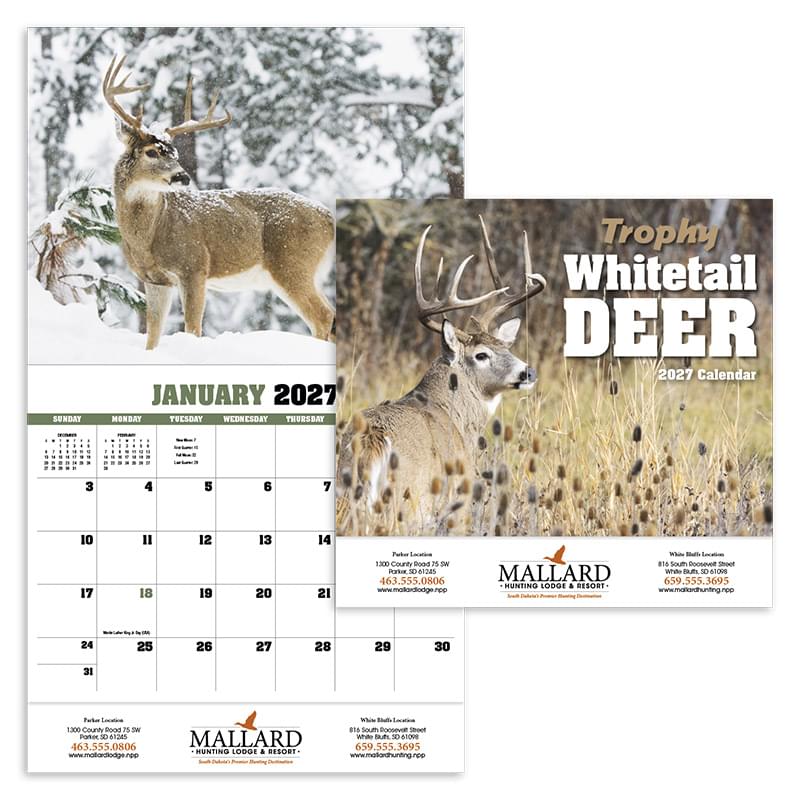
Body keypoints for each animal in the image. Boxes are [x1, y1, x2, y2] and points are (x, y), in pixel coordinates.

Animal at [102, 55, 335, 350]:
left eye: (175, 153)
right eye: (151, 152)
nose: (183, 176)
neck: (148, 237)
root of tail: (329, 217)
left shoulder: (194, 267)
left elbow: (193, 328)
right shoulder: (154, 279)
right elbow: (153, 335)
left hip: (293, 263)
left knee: (323, 317)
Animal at [336, 217, 547, 533]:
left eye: (505, 346)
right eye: (481, 355)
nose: (527, 372)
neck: (454, 415)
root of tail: (372, 439)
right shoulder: (454, 503)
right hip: (404, 505)